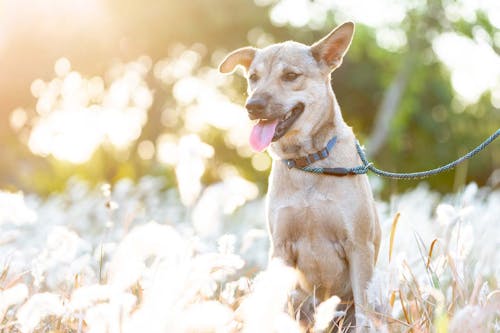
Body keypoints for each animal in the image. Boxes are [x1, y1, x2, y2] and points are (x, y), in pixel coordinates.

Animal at [219, 22, 378, 330]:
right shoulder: (281, 248)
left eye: (291, 76)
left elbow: (364, 313)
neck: (309, 163)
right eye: (253, 77)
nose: (252, 106)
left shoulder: (358, 246)